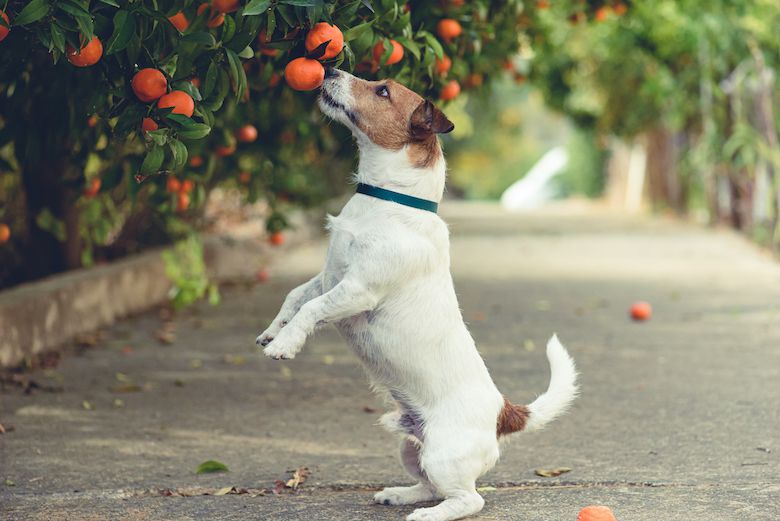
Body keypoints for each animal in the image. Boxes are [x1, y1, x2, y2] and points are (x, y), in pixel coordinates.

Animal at [256, 67, 580, 516]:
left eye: (383, 91)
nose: (331, 68)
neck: (389, 200)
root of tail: (502, 412)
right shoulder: (328, 276)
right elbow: (295, 297)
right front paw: (273, 331)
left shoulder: (357, 290)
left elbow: (312, 309)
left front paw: (285, 345)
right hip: (412, 448)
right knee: (430, 485)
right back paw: (399, 494)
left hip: (443, 455)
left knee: (468, 499)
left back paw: (427, 515)